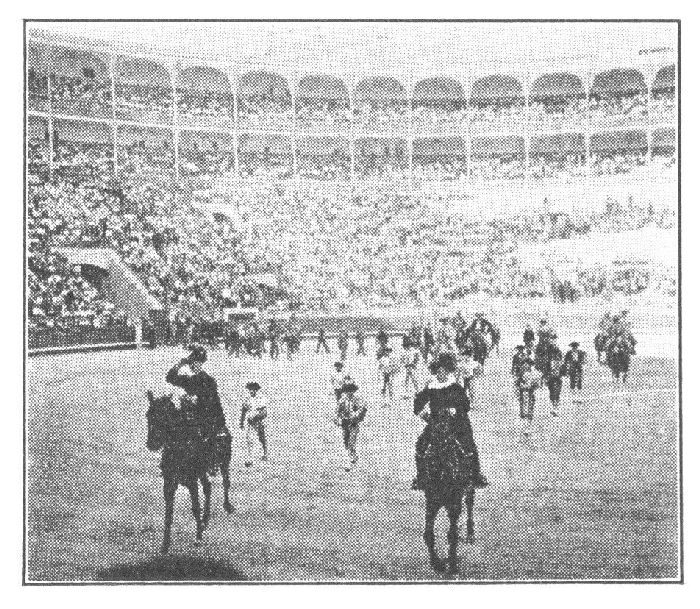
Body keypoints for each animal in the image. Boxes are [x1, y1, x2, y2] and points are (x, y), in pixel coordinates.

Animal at [146, 392, 234, 552]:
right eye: (148, 415)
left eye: (164, 416)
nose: (152, 443)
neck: (179, 447)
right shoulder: (169, 483)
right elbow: (169, 513)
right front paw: (165, 544)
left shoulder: (192, 482)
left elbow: (195, 507)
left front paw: (198, 536)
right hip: (202, 472)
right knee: (208, 487)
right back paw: (205, 519)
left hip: (223, 463)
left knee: (225, 482)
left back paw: (227, 506)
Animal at [422, 414, 476, 576]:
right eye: (431, 440)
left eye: (448, 440)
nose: (434, 470)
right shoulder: (431, 503)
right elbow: (428, 534)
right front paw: (437, 563)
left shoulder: (454, 504)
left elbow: (452, 534)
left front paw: (452, 565)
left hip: (469, 488)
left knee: (469, 503)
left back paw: (470, 534)